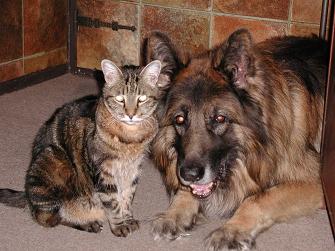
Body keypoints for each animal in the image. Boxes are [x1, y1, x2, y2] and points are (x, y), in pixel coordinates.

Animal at [0, 59, 163, 237]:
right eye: (120, 99)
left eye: (142, 99)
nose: (131, 114)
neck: (130, 138)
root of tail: (28, 196)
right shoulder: (103, 172)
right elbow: (113, 202)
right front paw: (119, 225)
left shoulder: (133, 169)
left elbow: (127, 197)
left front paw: (128, 218)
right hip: (52, 160)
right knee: (49, 217)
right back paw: (87, 223)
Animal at [143, 28, 330, 249]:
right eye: (179, 119)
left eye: (220, 118)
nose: (189, 174)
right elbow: (184, 190)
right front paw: (174, 214)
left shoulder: (315, 182)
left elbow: (259, 198)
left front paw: (231, 230)